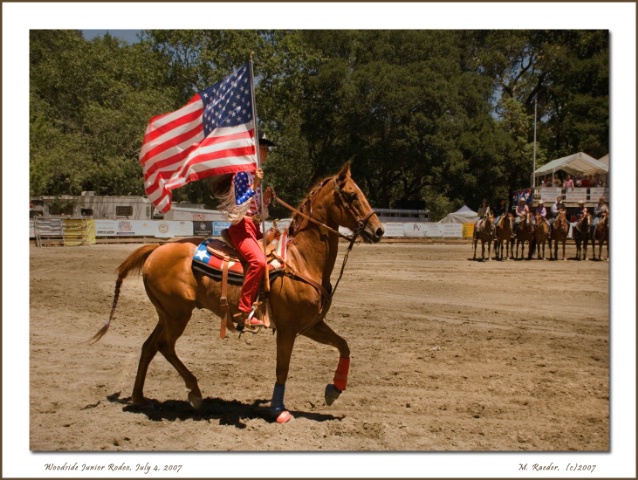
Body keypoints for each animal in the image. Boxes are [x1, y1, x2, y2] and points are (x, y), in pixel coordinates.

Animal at [90, 162, 384, 424]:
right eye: (352, 195)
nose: (379, 230)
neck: (302, 260)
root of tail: (157, 249)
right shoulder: (288, 328)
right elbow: (282, 368)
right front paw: (278, 410)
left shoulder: (311, 324)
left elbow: (344, 345)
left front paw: (334, 390)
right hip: (177, 315)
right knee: (164, 346)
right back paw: (194, 392)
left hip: (166, 314)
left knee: (149, 346)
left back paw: (140, 398)